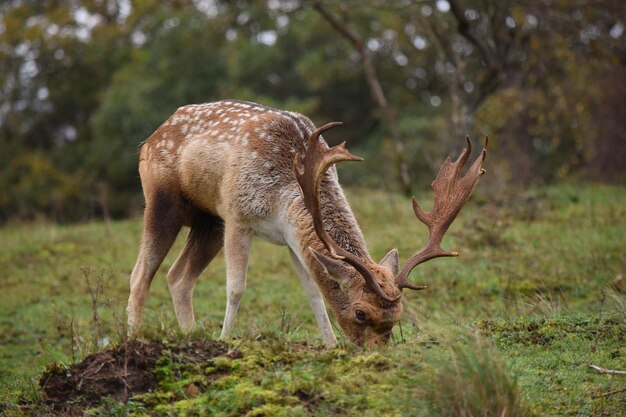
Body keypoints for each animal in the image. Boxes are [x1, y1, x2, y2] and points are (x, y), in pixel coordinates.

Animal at [127, 99, 486, 346]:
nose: (376, 355)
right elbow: (236, 288)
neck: (280, 198)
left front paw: (330, 345)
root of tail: (147, 141)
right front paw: (225, 341)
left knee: (178, 276)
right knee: (139, 274)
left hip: (208, 221)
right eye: (361, 312)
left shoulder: (289, 237)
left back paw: (190, 335)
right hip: (163, 201)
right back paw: (134, 339)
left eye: (397, 316)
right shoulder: (236, 215)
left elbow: (313, 290)